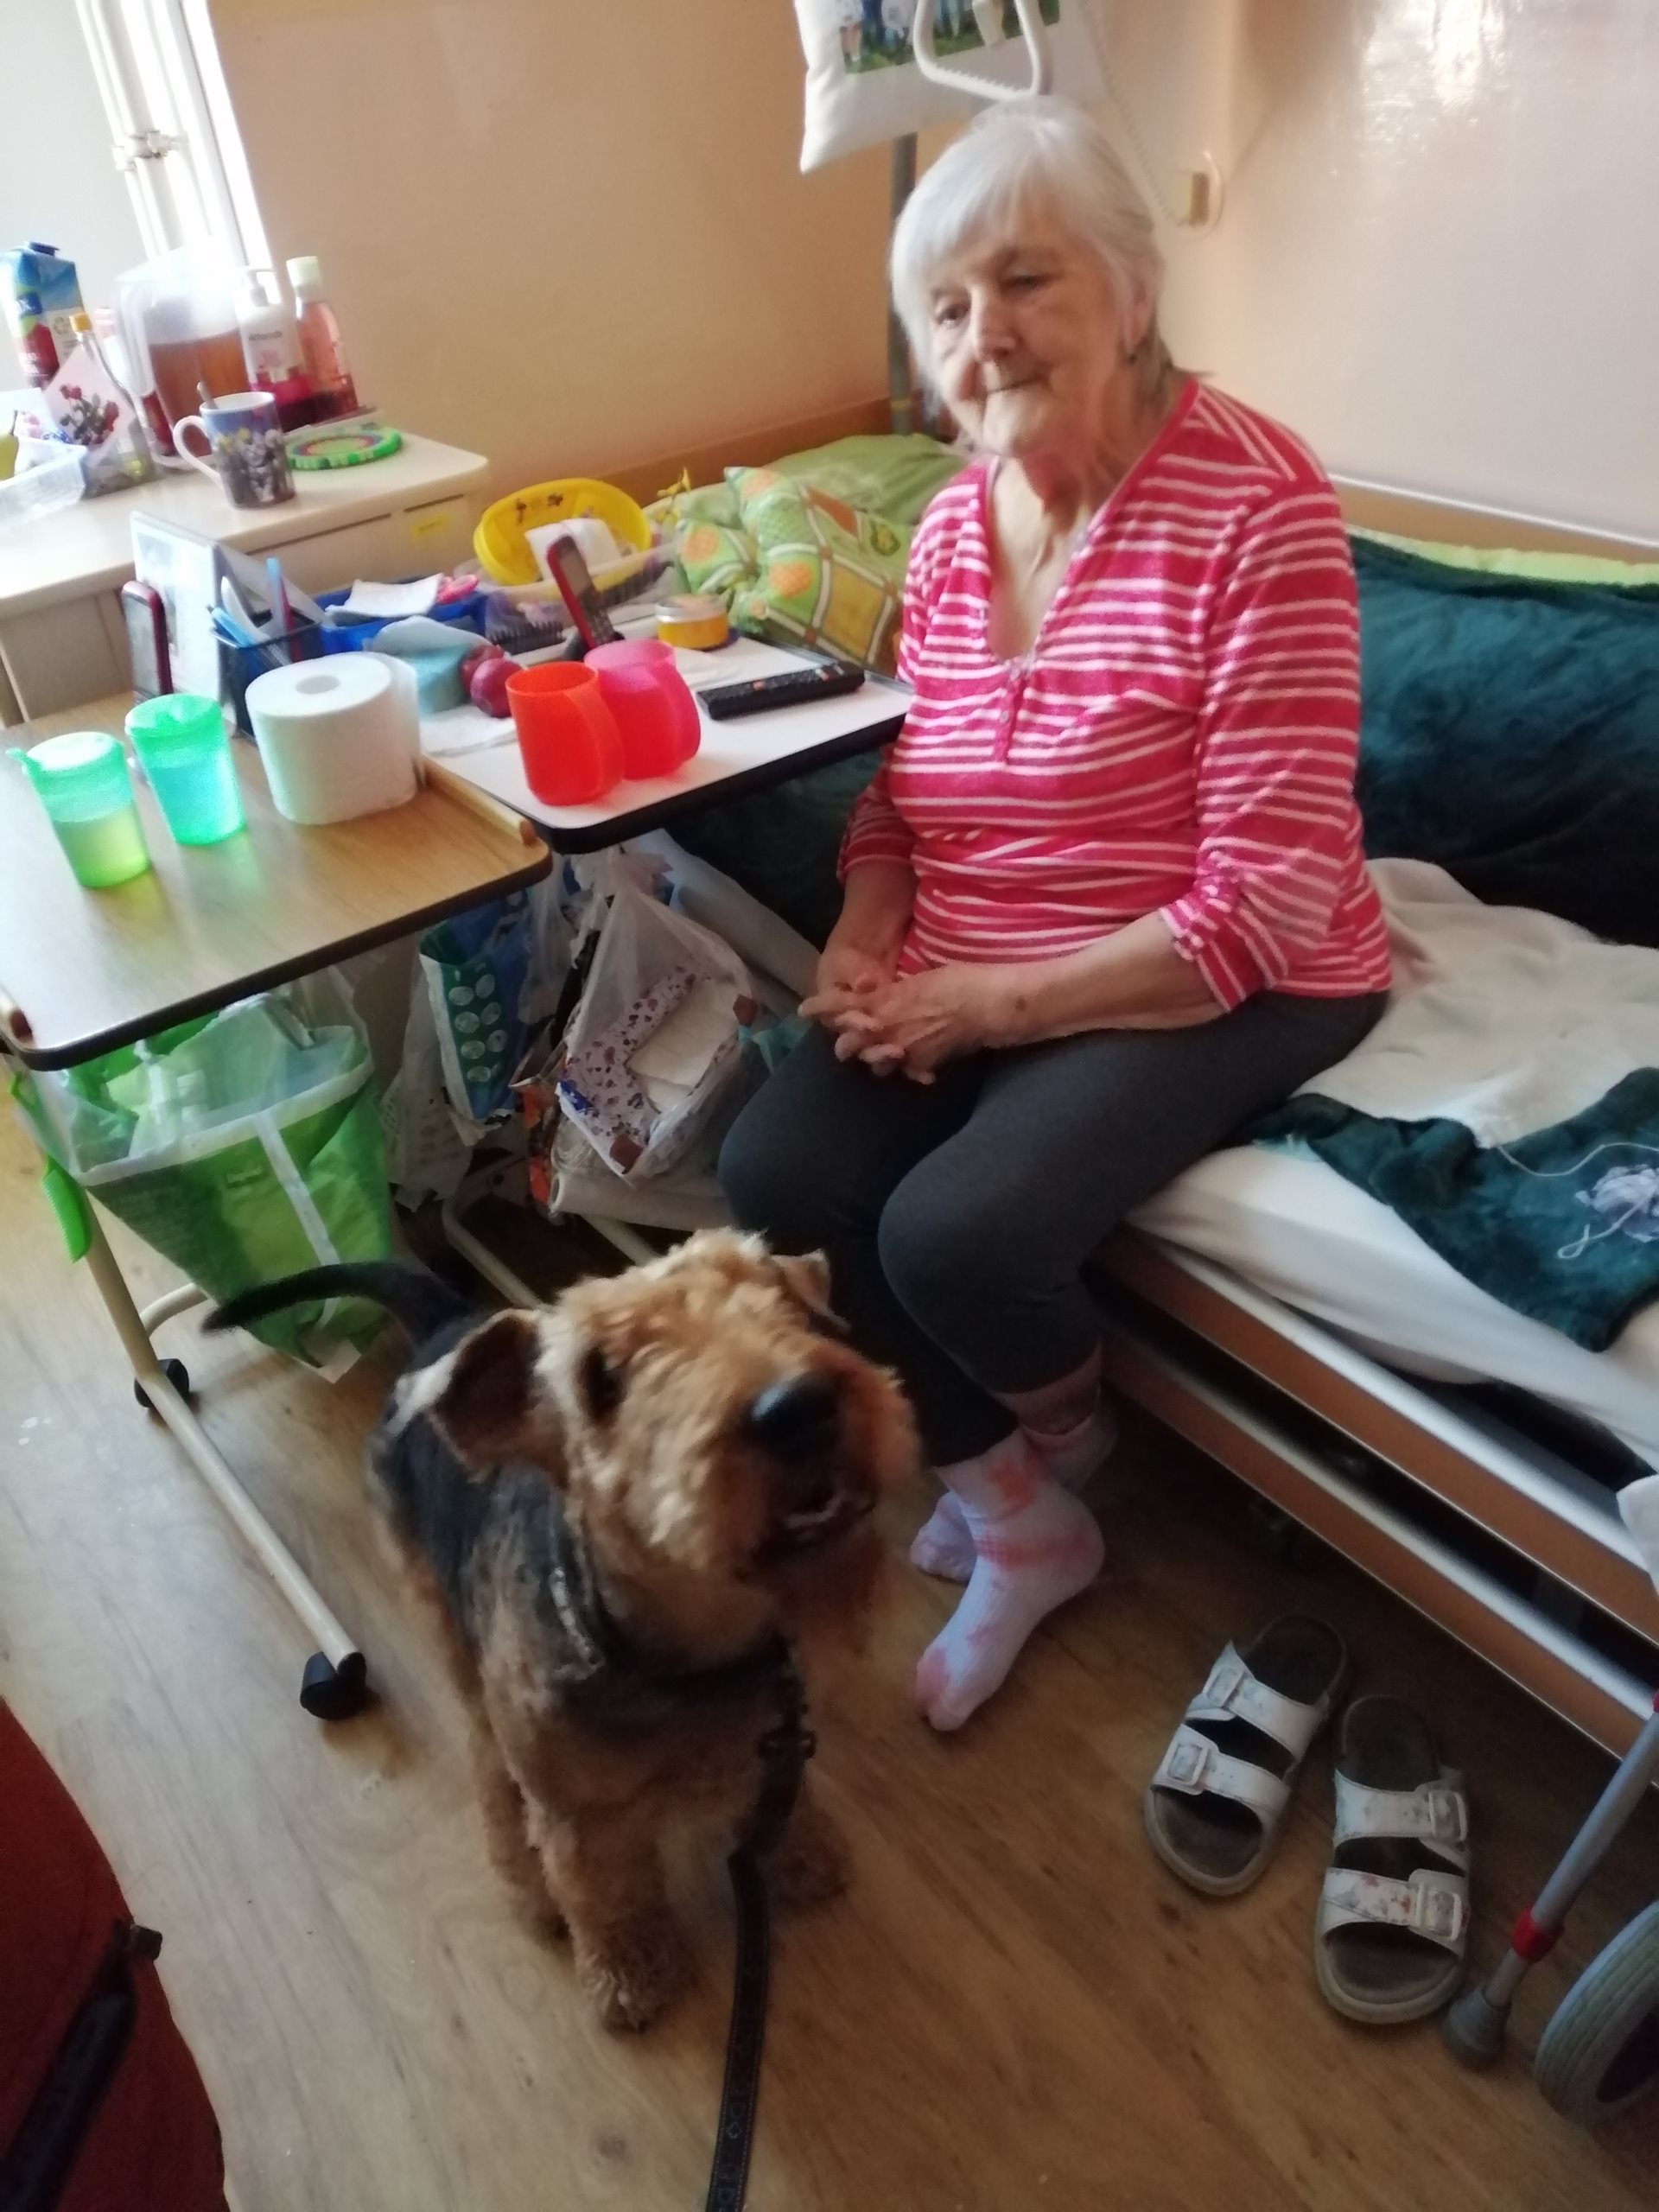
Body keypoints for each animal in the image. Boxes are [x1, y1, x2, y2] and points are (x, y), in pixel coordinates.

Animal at [208, 1232, 916, 2032]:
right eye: (599, 1378)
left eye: (776, 1297)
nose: (797, 1409)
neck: (691, 1661)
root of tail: (448, 1326)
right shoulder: (583, 1816)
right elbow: (607, 1893)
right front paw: (629, 1975)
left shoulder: (777, 1745)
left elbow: (785, 1811)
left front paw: (804, 1857)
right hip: (450, 1635)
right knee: (488, 1765)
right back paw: (527, 1886)